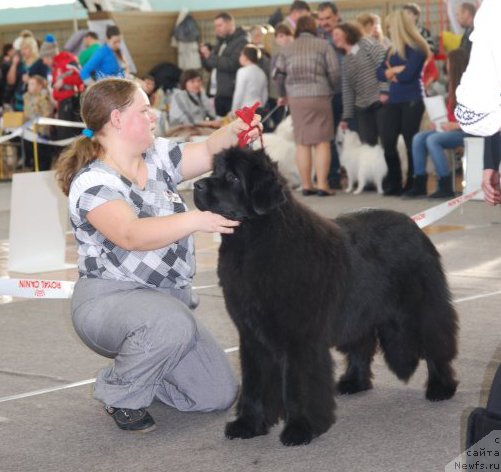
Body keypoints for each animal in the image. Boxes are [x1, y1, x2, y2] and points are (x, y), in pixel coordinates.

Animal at [192, 147, 458, 446]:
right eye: (214, 171)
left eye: (233, 177)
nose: (197, 185)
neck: (252, 240)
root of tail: (413, 225)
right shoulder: (252, 336)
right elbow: (254, 384)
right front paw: (248, 424)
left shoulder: (299, 338)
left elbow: (299, 384)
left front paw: (300, 428)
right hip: (359, 311)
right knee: (361, 344)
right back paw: (353, 382)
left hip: (422, 307)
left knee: (436, 344)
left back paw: (440, 387)